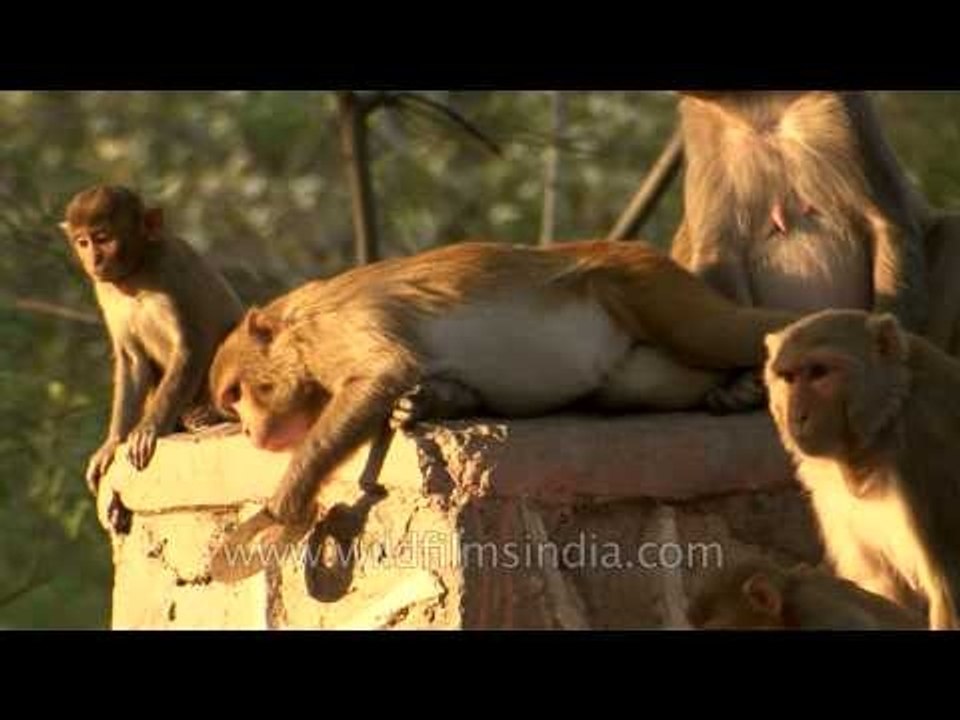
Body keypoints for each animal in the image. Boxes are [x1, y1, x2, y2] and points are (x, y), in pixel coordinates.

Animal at [61, 185, 244, 495]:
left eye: (103, 238)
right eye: (83, 242)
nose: (94, 260)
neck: (135, 272)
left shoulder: (172, 272)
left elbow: (189, 347)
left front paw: (150, 429)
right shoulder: (104, 289)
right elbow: (133, 361)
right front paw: (113, 442)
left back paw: (210, 415)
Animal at [206, 239, 798, 582]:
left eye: (237, 394)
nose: (252, 431)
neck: (297, 332)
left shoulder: (333, 328)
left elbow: (385, 372)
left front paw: (286, 504)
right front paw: (431, 401)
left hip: (645, 282)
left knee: (720, 331)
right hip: (635, 341)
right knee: (634, 384)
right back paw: (734, 390)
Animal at [764, 308, 960, 629]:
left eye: (819, 372)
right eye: (788, 377)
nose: (798, 416)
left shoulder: (927, 454)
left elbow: (948, 593)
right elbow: (880, 586)